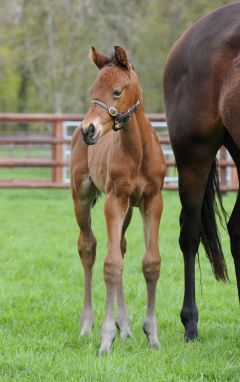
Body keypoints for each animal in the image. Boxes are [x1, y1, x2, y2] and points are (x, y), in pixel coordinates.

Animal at [70, 46, 166, 354]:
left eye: (117, 91)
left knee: (121, 247)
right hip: (81, 195)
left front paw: (151, 334)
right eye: (93, 90)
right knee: (88, 247)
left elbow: (150, 262)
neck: (138, 152)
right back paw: (87, 325)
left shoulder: (153, 200)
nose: (88, 130)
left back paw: (125, 327)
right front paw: (105, 338)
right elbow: (110, 265)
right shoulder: (114, 200)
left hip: (129, 211)